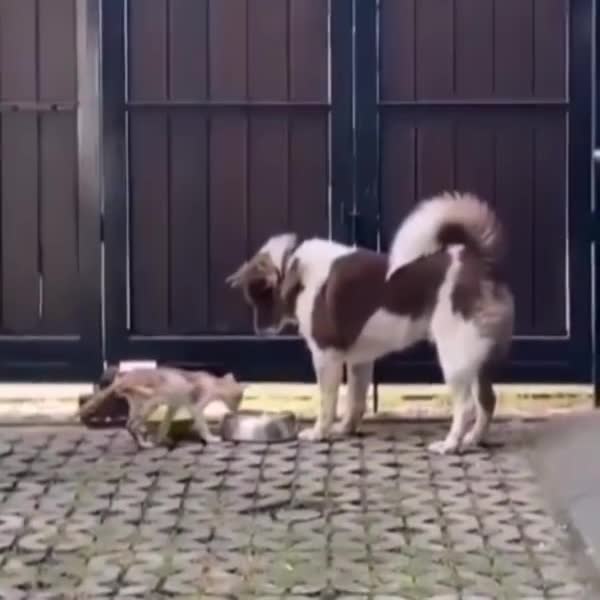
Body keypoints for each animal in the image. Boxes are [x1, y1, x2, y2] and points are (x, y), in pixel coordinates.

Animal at [78, 367, 246, 449]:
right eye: (239, 399)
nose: (237, 410)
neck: (214, 382)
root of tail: (123, 378)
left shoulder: (174, 406)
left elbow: (165, 424)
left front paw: (161, 438)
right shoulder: (196, 406)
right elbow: (203, 425)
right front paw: (211, 439)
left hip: (138, 404)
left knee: (128, 425)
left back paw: (141, 442)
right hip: (151, 402)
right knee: (132, 425)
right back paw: (144, 444)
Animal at [227, 192, 514, 454]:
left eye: (261, 296)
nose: (259, 331)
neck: (293, 268)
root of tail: (478, 259)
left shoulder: (325, 356)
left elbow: (327, 403)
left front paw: (320, 432)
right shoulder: (360, 360)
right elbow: (355, 401)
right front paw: (345, 429)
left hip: (454, 354)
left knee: (466, 406)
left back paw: (451, 444)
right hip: (474, 355)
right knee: (487, 399)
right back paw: (473, 439)